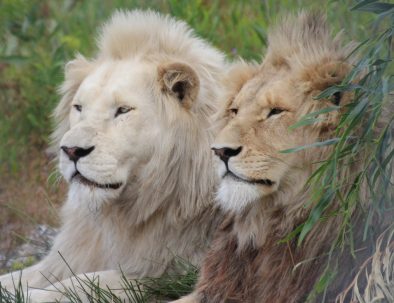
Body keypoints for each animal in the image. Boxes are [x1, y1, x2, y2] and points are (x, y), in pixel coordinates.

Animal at [0, 10, 226, 303]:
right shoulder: (68, 256)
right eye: (78, 107)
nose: (71, 151)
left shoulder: (166, 274)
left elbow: (81, 284)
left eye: (123, 110)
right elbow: (15, 279)